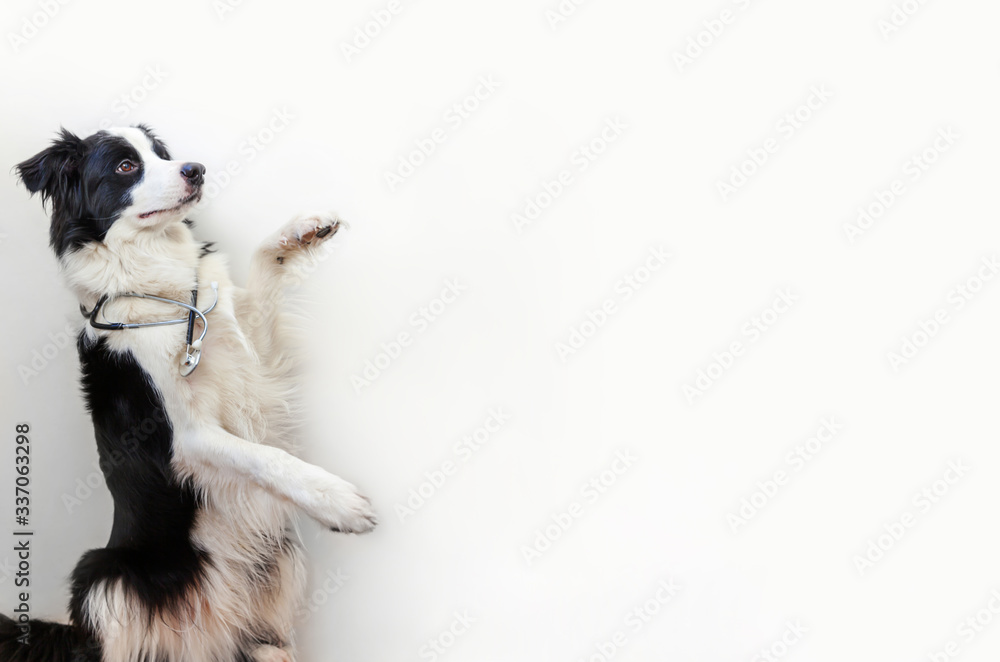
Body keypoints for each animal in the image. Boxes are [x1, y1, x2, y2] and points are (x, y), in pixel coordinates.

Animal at [1, 126, 376, 662]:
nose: (195, 169)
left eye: (162, 153)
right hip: (101, 573)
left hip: (279, 561)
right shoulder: (188, 437)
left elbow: (260, 277)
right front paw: (338, 501)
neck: (163, 284)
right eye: (125, 166)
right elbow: (266, 457)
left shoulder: (255, 367)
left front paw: (301, 230)